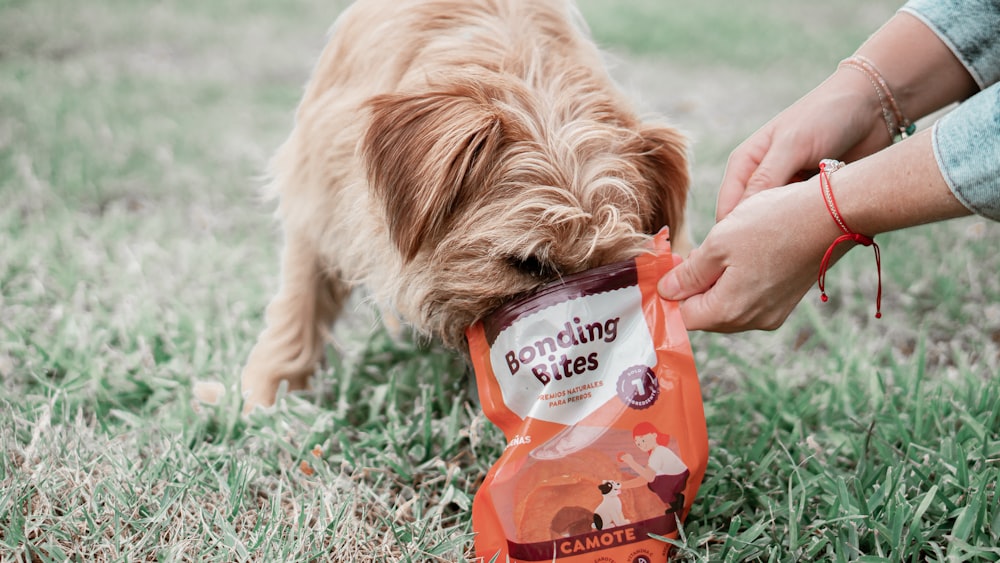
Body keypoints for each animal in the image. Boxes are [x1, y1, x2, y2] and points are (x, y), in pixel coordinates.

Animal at [239, 0, 692, 414]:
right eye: (529, 264)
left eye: (612, 274)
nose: (581, 370)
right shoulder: (316, 189)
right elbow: (301, 300)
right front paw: (269, 393)